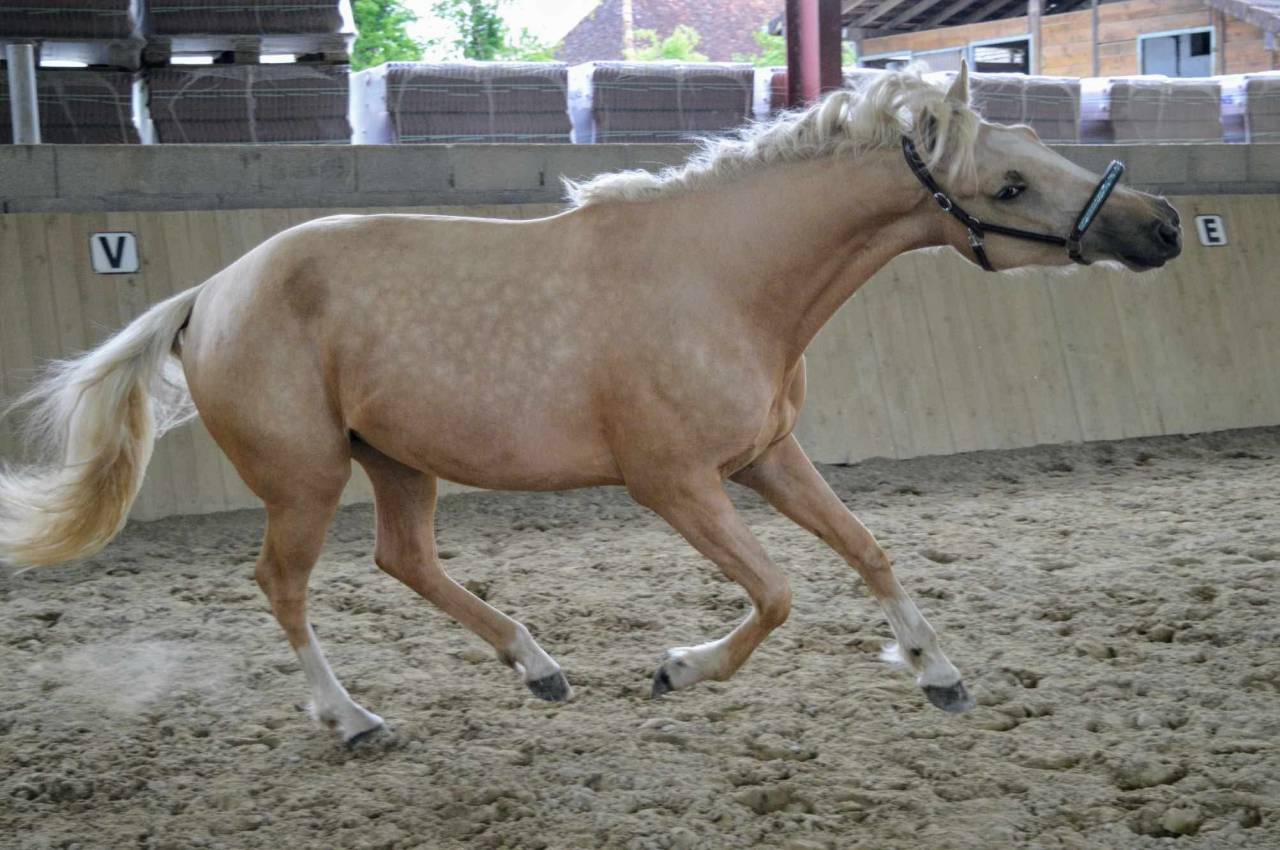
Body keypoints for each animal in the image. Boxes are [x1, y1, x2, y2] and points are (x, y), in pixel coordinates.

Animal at [0, 64, 1182, 744]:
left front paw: (936, 671)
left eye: (1038, 150)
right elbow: (778, 592)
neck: (724, 279)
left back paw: (539, 668)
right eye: (1008, 185)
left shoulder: (768, 456)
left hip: (395, 460)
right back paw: (353, 718)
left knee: (404, 559)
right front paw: (677, 668)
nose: (1163, 226)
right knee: (284, 587)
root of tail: (208, 293)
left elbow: (866, 549)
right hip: (305, 477)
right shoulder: (675, 484)